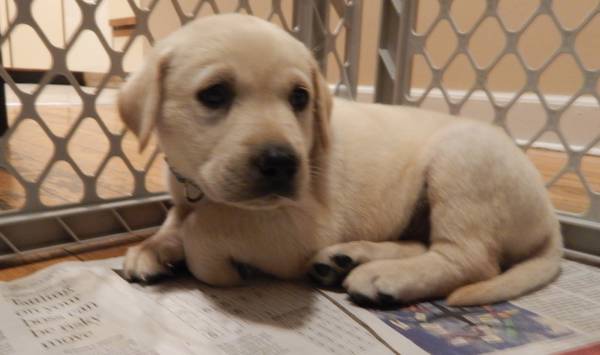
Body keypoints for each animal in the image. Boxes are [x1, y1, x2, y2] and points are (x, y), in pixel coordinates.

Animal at [120, 13, 564, 308]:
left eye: (300, 97)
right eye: (214, 94)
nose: (282, 162)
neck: (202, 187)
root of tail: (551, 220)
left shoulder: (300, 228)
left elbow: (204, 227)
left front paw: (212, 263)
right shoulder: (185, 195)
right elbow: (178, 218)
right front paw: (153, 246)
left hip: (461, 162)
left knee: (471, 259)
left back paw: (385, 276)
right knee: (422, 242)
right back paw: (347, 259)